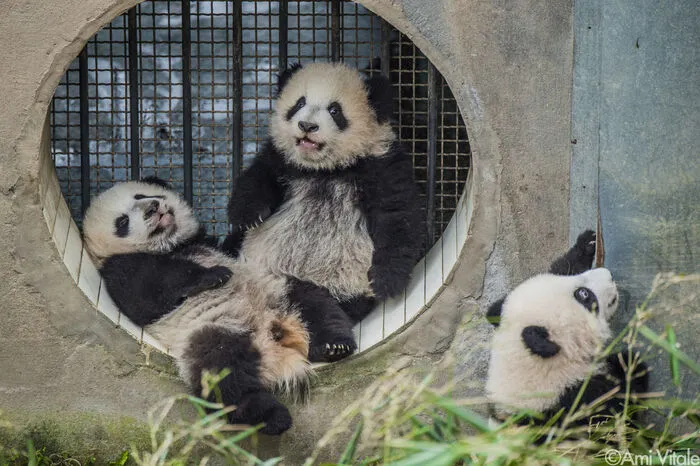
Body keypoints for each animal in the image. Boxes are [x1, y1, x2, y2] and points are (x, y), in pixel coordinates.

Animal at [83, 178, 314, 435]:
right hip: (212, 332)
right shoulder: (119, 272)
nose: (153, 207)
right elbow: (147, 295)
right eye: (122, 222)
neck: (172, 246)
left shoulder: (207, 243)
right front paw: (214, 275)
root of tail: (272, 342)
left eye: (141, 195)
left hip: (277, 292)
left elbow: (233, 246)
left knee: (312, 299)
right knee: (223, 378)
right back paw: (272, 417)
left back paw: (331, 343)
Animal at [223, 62, 424, 363]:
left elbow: (397, 217)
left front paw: (387, 281)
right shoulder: (281, 160)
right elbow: (258, 178)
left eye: (334, 110)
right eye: (299, 103)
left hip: (341, 284)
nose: (307, 126)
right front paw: (246, 216)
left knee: (317, 308)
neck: (325, 169)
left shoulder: (380, 164)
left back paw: (332, 344)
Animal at [485, 230, 649, 427]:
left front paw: (587, 243)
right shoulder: (575, 403)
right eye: (583, 294)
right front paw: (631, 364)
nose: (608, 273)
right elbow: (618, 412)